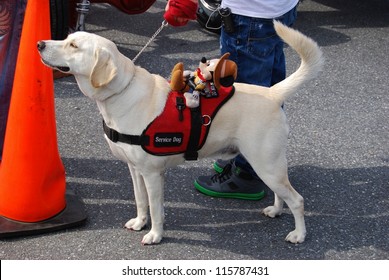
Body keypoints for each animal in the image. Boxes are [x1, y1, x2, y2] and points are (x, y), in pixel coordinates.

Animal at [37, 21, 322, 245]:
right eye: (67, 38)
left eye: (74, 46)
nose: (39, 43)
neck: (122, 92)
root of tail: (273, 93)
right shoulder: (135, 170)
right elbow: (140, 201)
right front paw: (140, 222)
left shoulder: (153, 174)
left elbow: (156, 208)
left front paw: (155, 235)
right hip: (268, 166)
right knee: (281, 193)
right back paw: (275, 210)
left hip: (266, 164)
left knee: (297, 200)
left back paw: (299, 234)